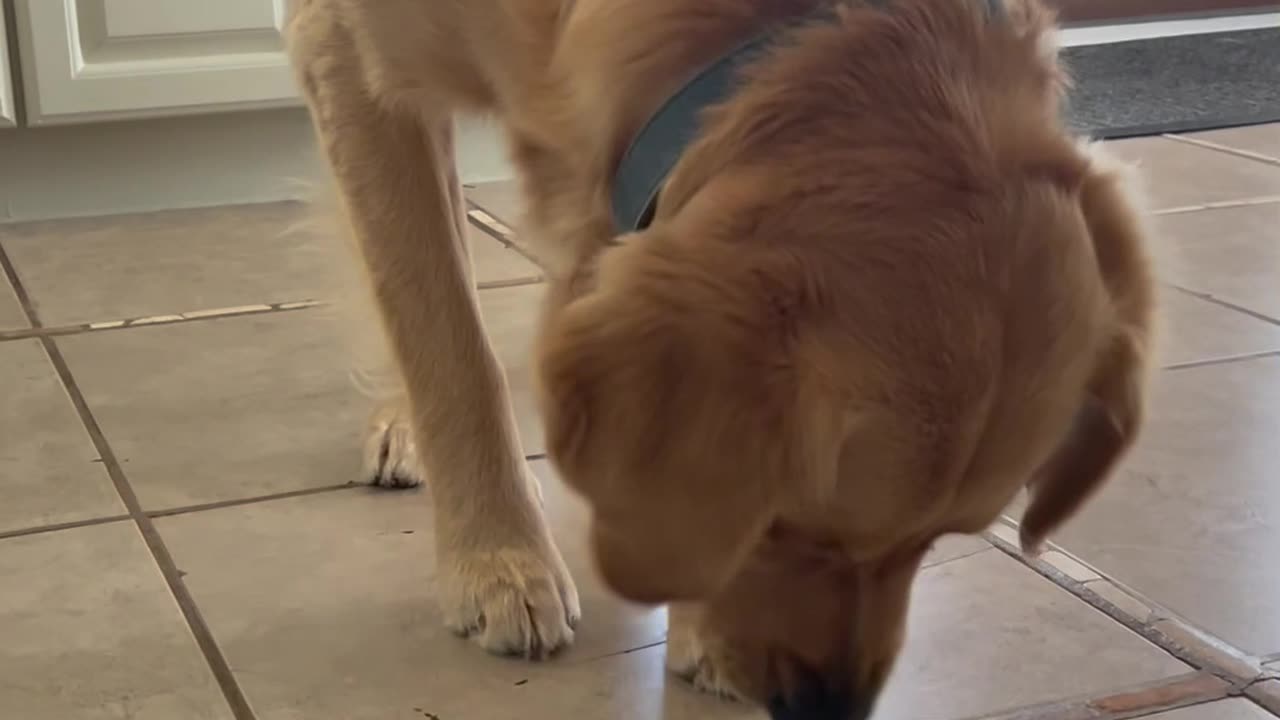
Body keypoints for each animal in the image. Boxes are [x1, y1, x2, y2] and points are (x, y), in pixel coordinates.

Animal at [288, 0, 1162, 712]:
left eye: (943, 538)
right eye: (783, 522)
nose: (830, 708)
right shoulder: (348, 54)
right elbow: (447, 338)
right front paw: (497, 557)